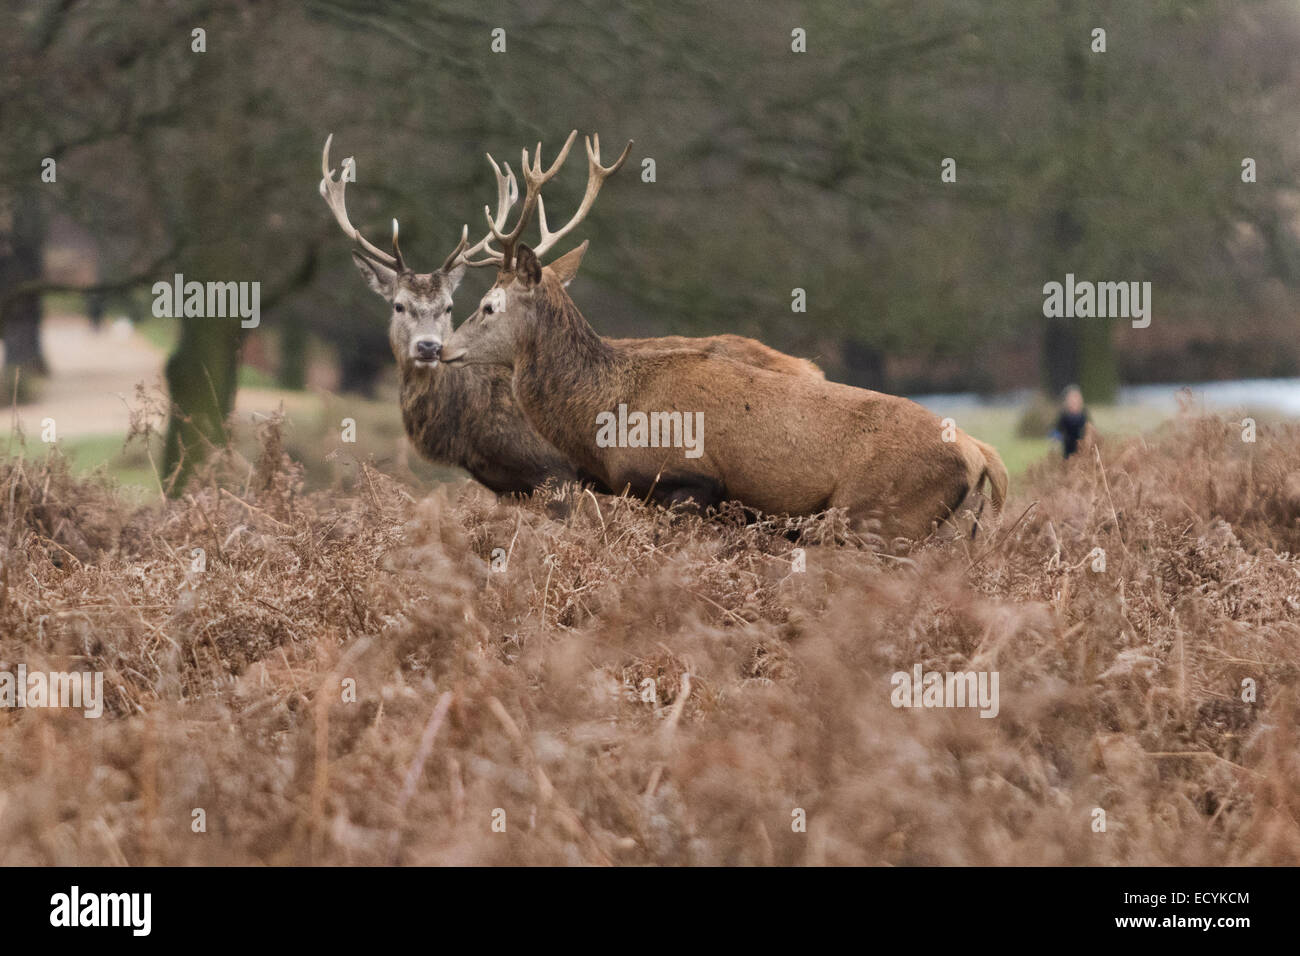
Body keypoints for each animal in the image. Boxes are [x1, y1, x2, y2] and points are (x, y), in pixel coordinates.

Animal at [439, 133, 1008, 543]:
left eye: (488, 305)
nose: (440, 348)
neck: (607, 414)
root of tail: (982, 454)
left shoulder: (688, 483)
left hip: (884, 519)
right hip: (952, 531)